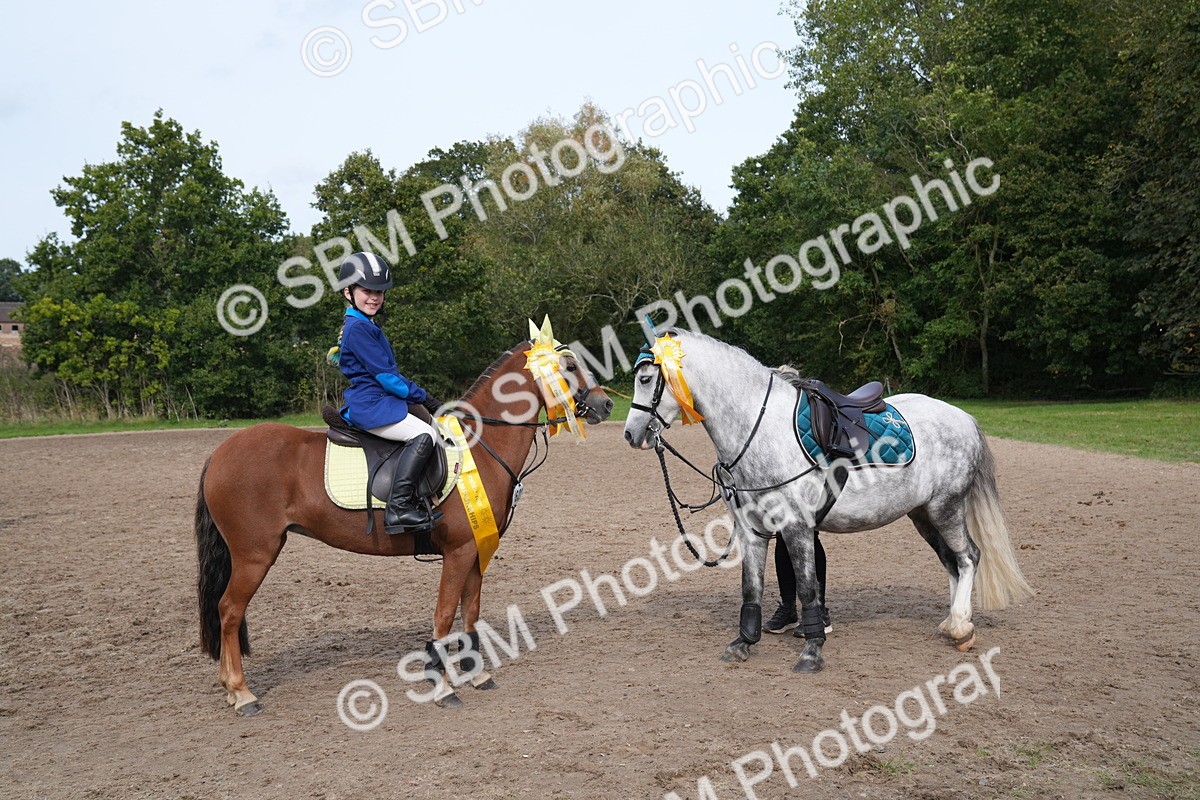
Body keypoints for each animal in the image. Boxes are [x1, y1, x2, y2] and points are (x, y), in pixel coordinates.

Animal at [195, 325, 612, 713]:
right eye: (569, 366)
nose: (605, 404)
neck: (479, 444)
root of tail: (220, 453)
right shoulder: (460, 551)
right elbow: (444, 616)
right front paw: (442, 687)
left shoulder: (477, 549)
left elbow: (471, 613)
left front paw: (477, 675)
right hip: (255, 554)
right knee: (228, 611)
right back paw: (242, 693)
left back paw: (231, 689)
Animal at [622, 328, 1032, 673]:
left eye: (645, 379)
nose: (630, 434)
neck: (761, 429)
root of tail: (964, 417)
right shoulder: (752, 530)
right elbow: (751, 588)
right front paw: (743, 643)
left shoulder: (797, 528)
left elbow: (807, 588)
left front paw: (811, 650)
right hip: (922, 515)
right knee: (951, 562)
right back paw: (952, 621)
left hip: (945, 508)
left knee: (968, 558)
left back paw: (962, 627)